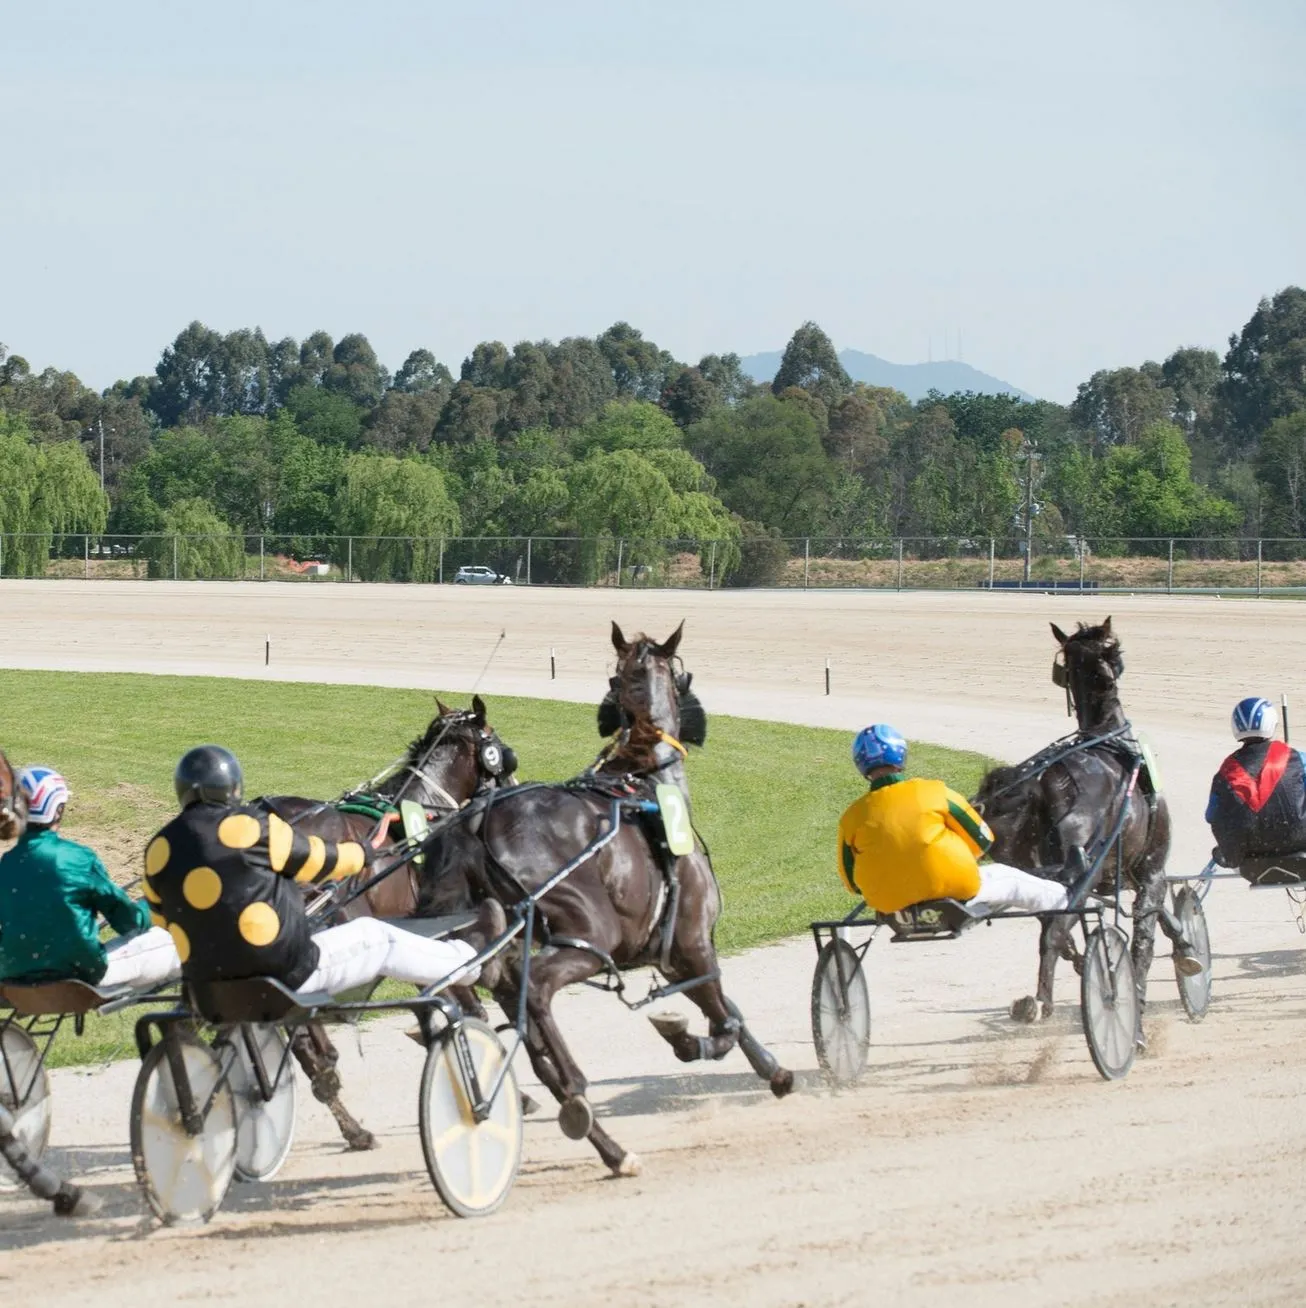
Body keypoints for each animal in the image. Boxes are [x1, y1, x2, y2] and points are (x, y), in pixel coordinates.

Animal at [418, 619, 795, 1177]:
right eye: (678, 671)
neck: (644, 777)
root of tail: (477, 818)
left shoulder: (671, 953)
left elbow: (728, 1010)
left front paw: (772, 1069)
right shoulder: (692, 944)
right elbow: (725, 1018)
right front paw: (698, 1042)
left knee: (520, 1022)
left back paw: (608, 1144)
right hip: (589, 936)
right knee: (536, 990)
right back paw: (577, 1093)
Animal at [973, 617, 1198, 1046]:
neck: (1112, 740)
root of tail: (1048, 782)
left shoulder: (1117, 876)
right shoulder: (1150, 869)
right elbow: (1146, 934)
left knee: (1053, 925)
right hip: (1083, 868)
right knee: (1055, 932)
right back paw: (1046, 1002)